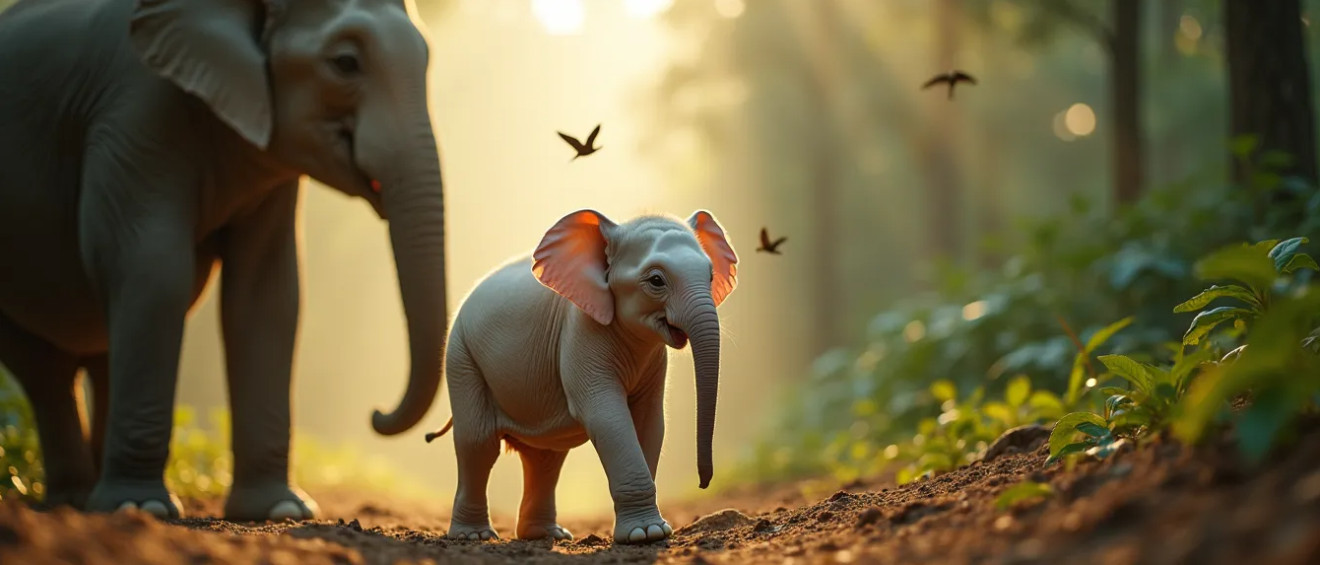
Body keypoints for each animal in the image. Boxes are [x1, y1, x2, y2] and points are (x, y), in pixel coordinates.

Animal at [0, 0, 449, 520]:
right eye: (345, 64)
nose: (375, 414)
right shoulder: (136, 110)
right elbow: (155, 273)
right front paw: (145, 509)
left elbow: (266, 293)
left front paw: (281, 511)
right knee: (45, 368)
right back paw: (92, 504)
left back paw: (86, 503)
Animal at [426, 209, 739, 544]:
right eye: (656, 280)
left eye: (710, 276)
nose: (704, 483)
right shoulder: (580, 333)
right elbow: (608, 417)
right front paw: (646, 534)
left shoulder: (653, 359)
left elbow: (650, 421)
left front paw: (651, 531)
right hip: (461, 357)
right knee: (478, 442)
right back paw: (474, 536)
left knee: (545, 457)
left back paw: (547, 535)